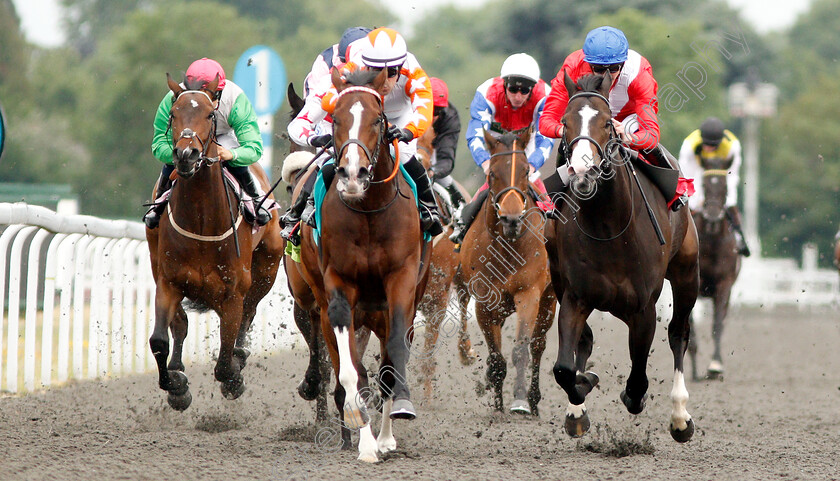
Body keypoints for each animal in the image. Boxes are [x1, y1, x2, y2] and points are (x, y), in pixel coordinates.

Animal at [144, 74, 286, 408]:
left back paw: (240, 355)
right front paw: (177, 387)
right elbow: (159, 339)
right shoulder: (168, 282)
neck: (201, 219)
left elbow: (223, 362)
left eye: (210, 114)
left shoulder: (232, 293)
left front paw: (234, 376)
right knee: (180, 325)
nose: (186, 155)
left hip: (267, 268)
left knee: (249, 314)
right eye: (173, 114)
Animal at [292, 67, 430, 462]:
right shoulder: (337, 287)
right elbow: (350, 370)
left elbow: (393, 357)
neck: (368, 211)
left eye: (377, 120)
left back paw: (386, 435)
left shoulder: (401, 282)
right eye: (335, 119)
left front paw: (395, 418)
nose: (354, 174)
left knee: (387, 362)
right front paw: (363, 437)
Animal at [452, 127, 556, 412]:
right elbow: (497, 358)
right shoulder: (485, 302)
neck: (508, 247)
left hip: (549, 299)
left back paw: (533, 399)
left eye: (525, 170)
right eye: (492, 174)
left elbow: (521, 349)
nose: (511, 219)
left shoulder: (529, 293)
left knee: (538, 345)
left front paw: (519, 401)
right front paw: (497, 405)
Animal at [544, 72, 704, 442]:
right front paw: (582, 391)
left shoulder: (643, 308)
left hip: (687, 273)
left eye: (607, 123)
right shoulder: (575, 297)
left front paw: (635, 396)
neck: (609, 228)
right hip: (556, 274)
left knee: (679, 332)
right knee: (584, 342)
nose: (583, 173)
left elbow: (637, 383)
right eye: (564, 123)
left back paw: (680, 417)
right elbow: (564, 368)